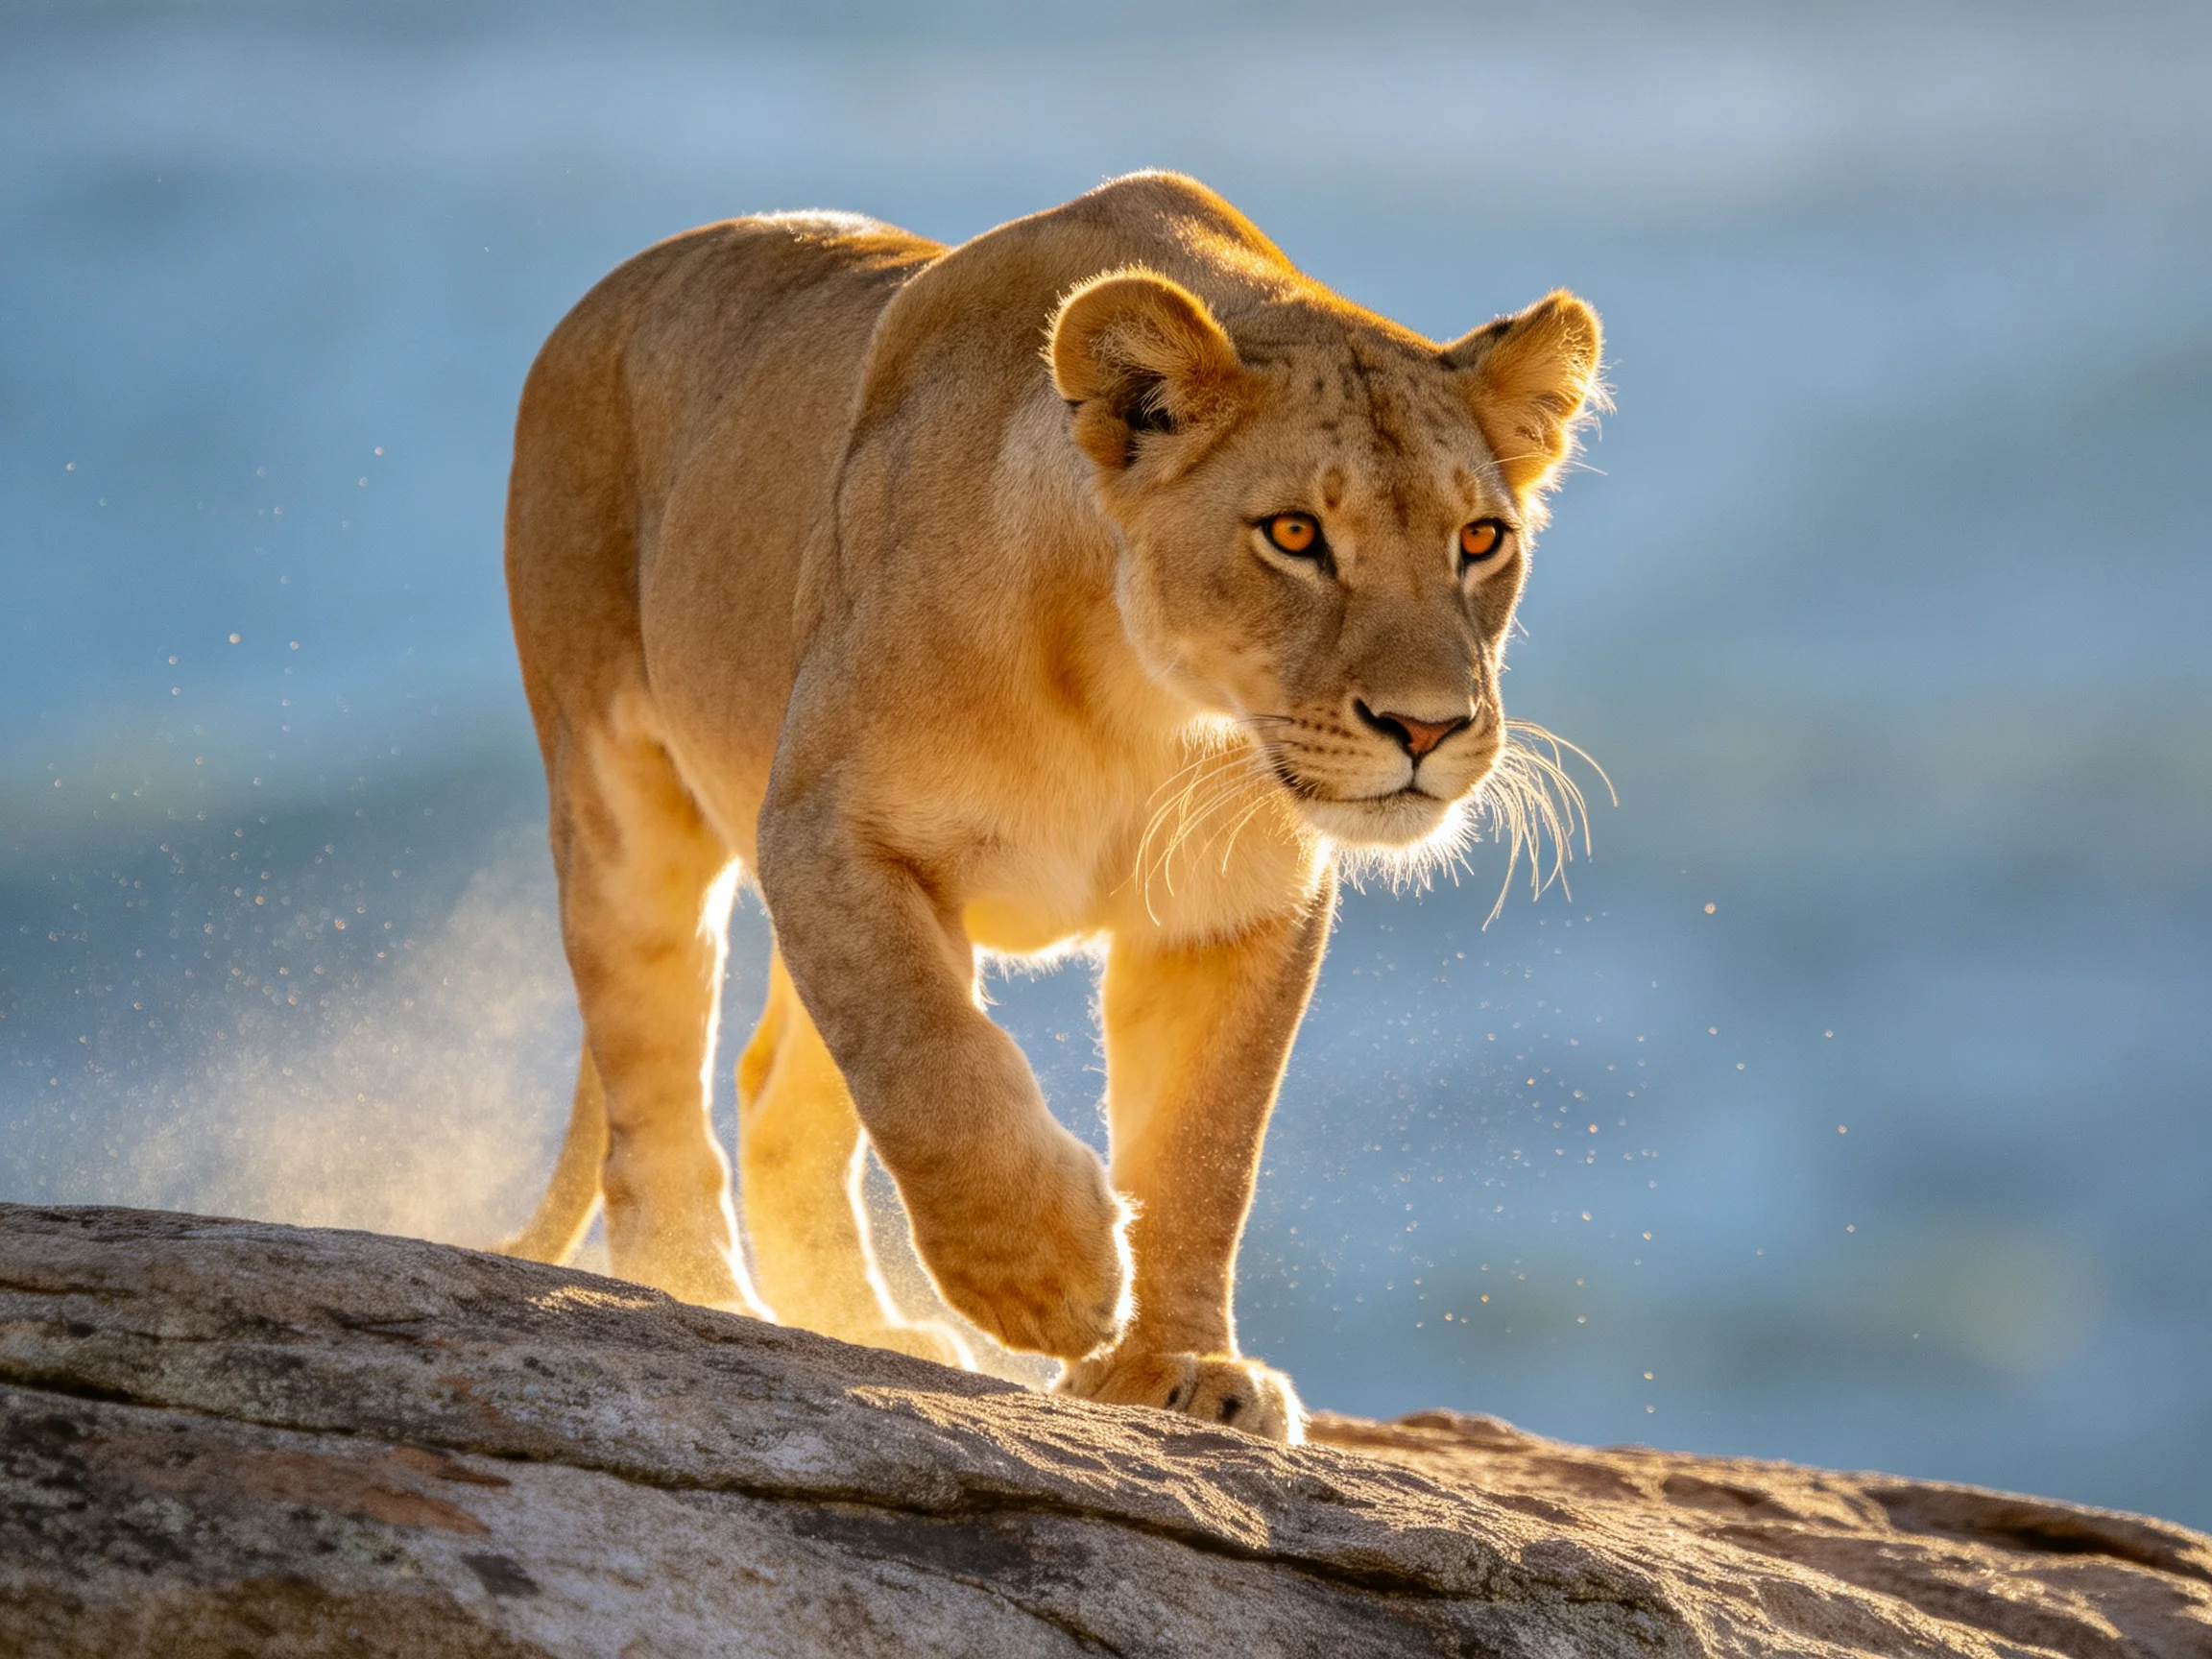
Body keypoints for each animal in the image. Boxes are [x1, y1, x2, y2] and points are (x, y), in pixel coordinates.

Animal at [499, 172, 1601, 1443]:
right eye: (1294, 535)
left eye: (1481, 539)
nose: (1426, 730)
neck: (1143, 705)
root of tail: (609, 292)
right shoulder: (825, 830)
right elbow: (930, 1063)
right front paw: (1048, 1281)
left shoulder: (1236, 910)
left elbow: (1204, 1149)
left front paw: (1183, 1366)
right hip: (620, 792)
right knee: (655, 1070)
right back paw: (705, 1292)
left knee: (777, 1094)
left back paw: (861, 1324)